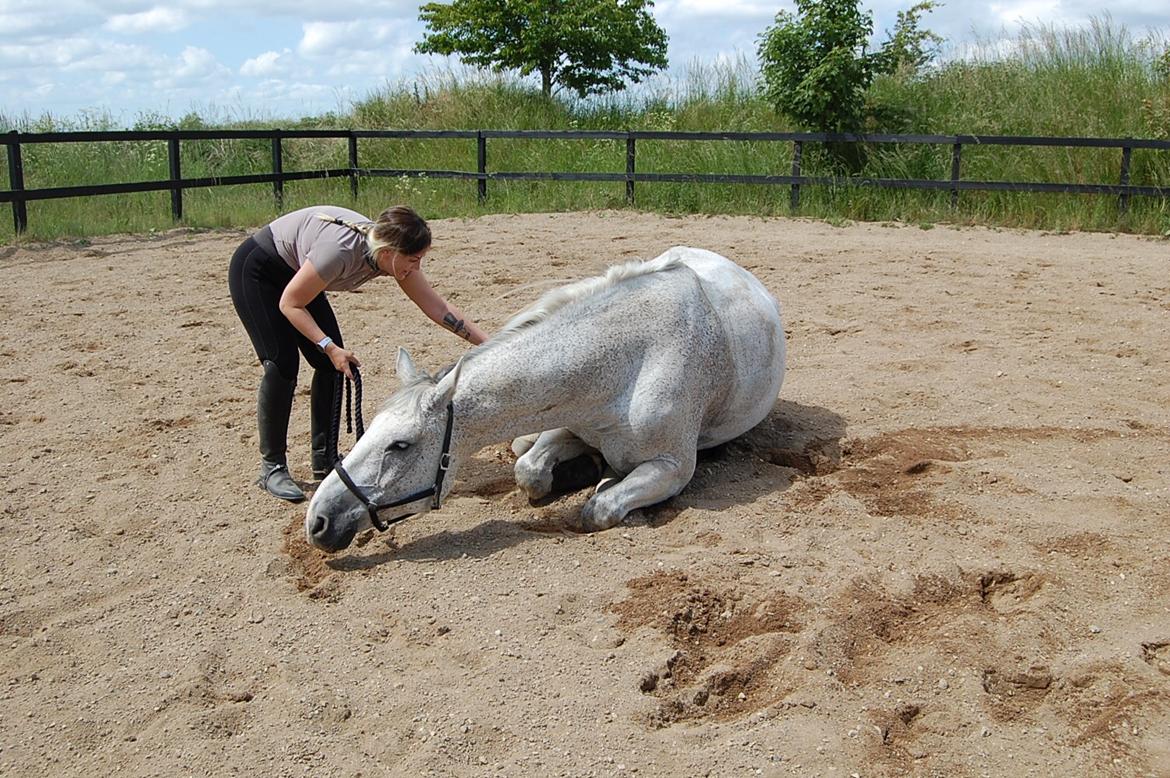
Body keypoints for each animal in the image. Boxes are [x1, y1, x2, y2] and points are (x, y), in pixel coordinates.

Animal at [306, 245, 790, 549]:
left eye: (400, 445)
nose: (318, 521)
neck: (628, 362)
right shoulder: (566, 419)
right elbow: (529, 471)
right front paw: (582, 471)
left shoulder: (673, 468)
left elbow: (599, 509)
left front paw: (600, 481)